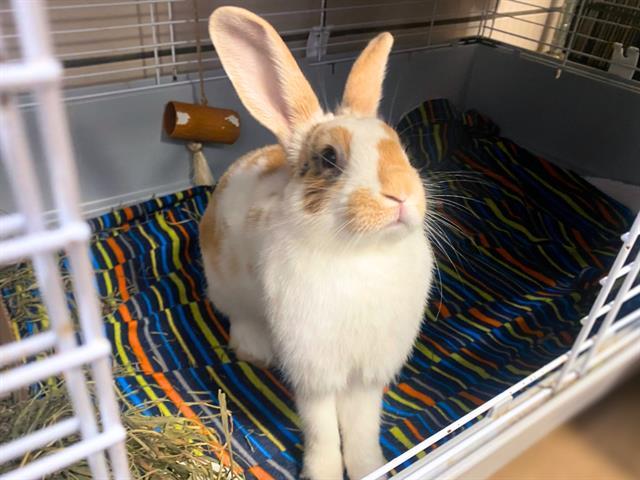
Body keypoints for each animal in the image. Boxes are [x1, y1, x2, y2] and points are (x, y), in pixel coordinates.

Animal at [200, 6, 434, 480]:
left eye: (399, 146)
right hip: (226, 288)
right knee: (239, 317)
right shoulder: (314, 370)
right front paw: (323, 471)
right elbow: (322, 427)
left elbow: (361, 425)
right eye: (329, 158)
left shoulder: (367, 373)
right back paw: (255, 351)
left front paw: (370, 467)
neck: (362, 253)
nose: (401, 195)